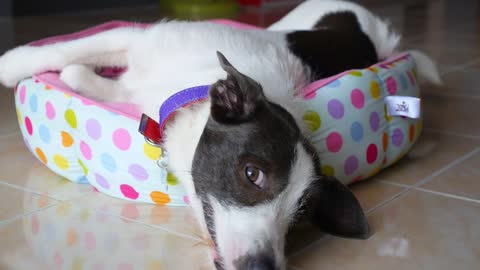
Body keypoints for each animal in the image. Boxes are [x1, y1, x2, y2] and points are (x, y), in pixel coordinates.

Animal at [0, 1, 438, 268]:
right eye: (252, 174)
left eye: (301, 213)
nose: (262, 267)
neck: (192, 82)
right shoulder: (135, 39)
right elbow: (66, 51)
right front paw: (12, 64)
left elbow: (82, 73)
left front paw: (75, 76)